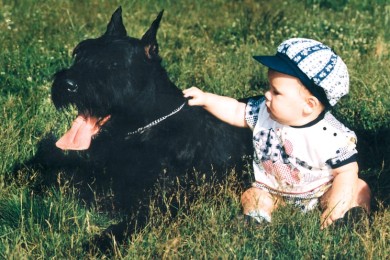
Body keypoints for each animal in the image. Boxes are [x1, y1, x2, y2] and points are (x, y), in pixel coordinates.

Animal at [22, 6, 254, 248]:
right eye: (80, 53)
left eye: (115, 65)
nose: (68, 85)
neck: (143, 129)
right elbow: (60, 170)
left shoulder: (163, 203)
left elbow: (128, 224)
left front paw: (98, 244)